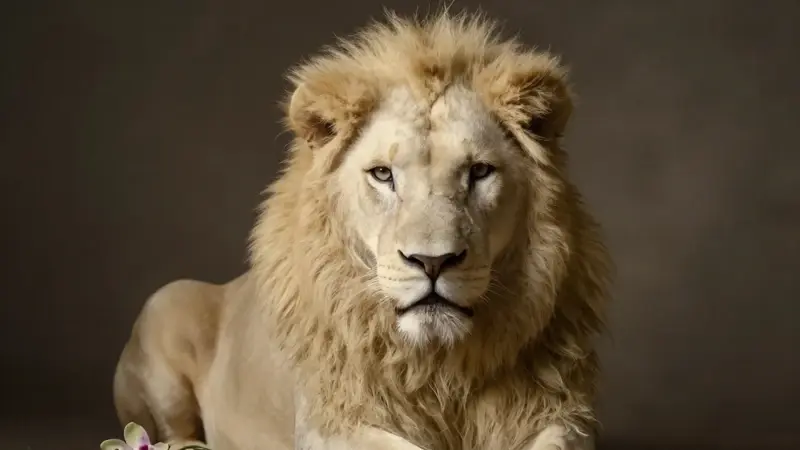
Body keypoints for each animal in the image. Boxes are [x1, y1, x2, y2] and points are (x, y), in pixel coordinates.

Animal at [112, 11, 612, 450]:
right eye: (383, 175)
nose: (433, 262)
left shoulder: (563, 414)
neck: (440, 369)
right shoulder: (331, 422)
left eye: (480, 172)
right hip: (167, 302)